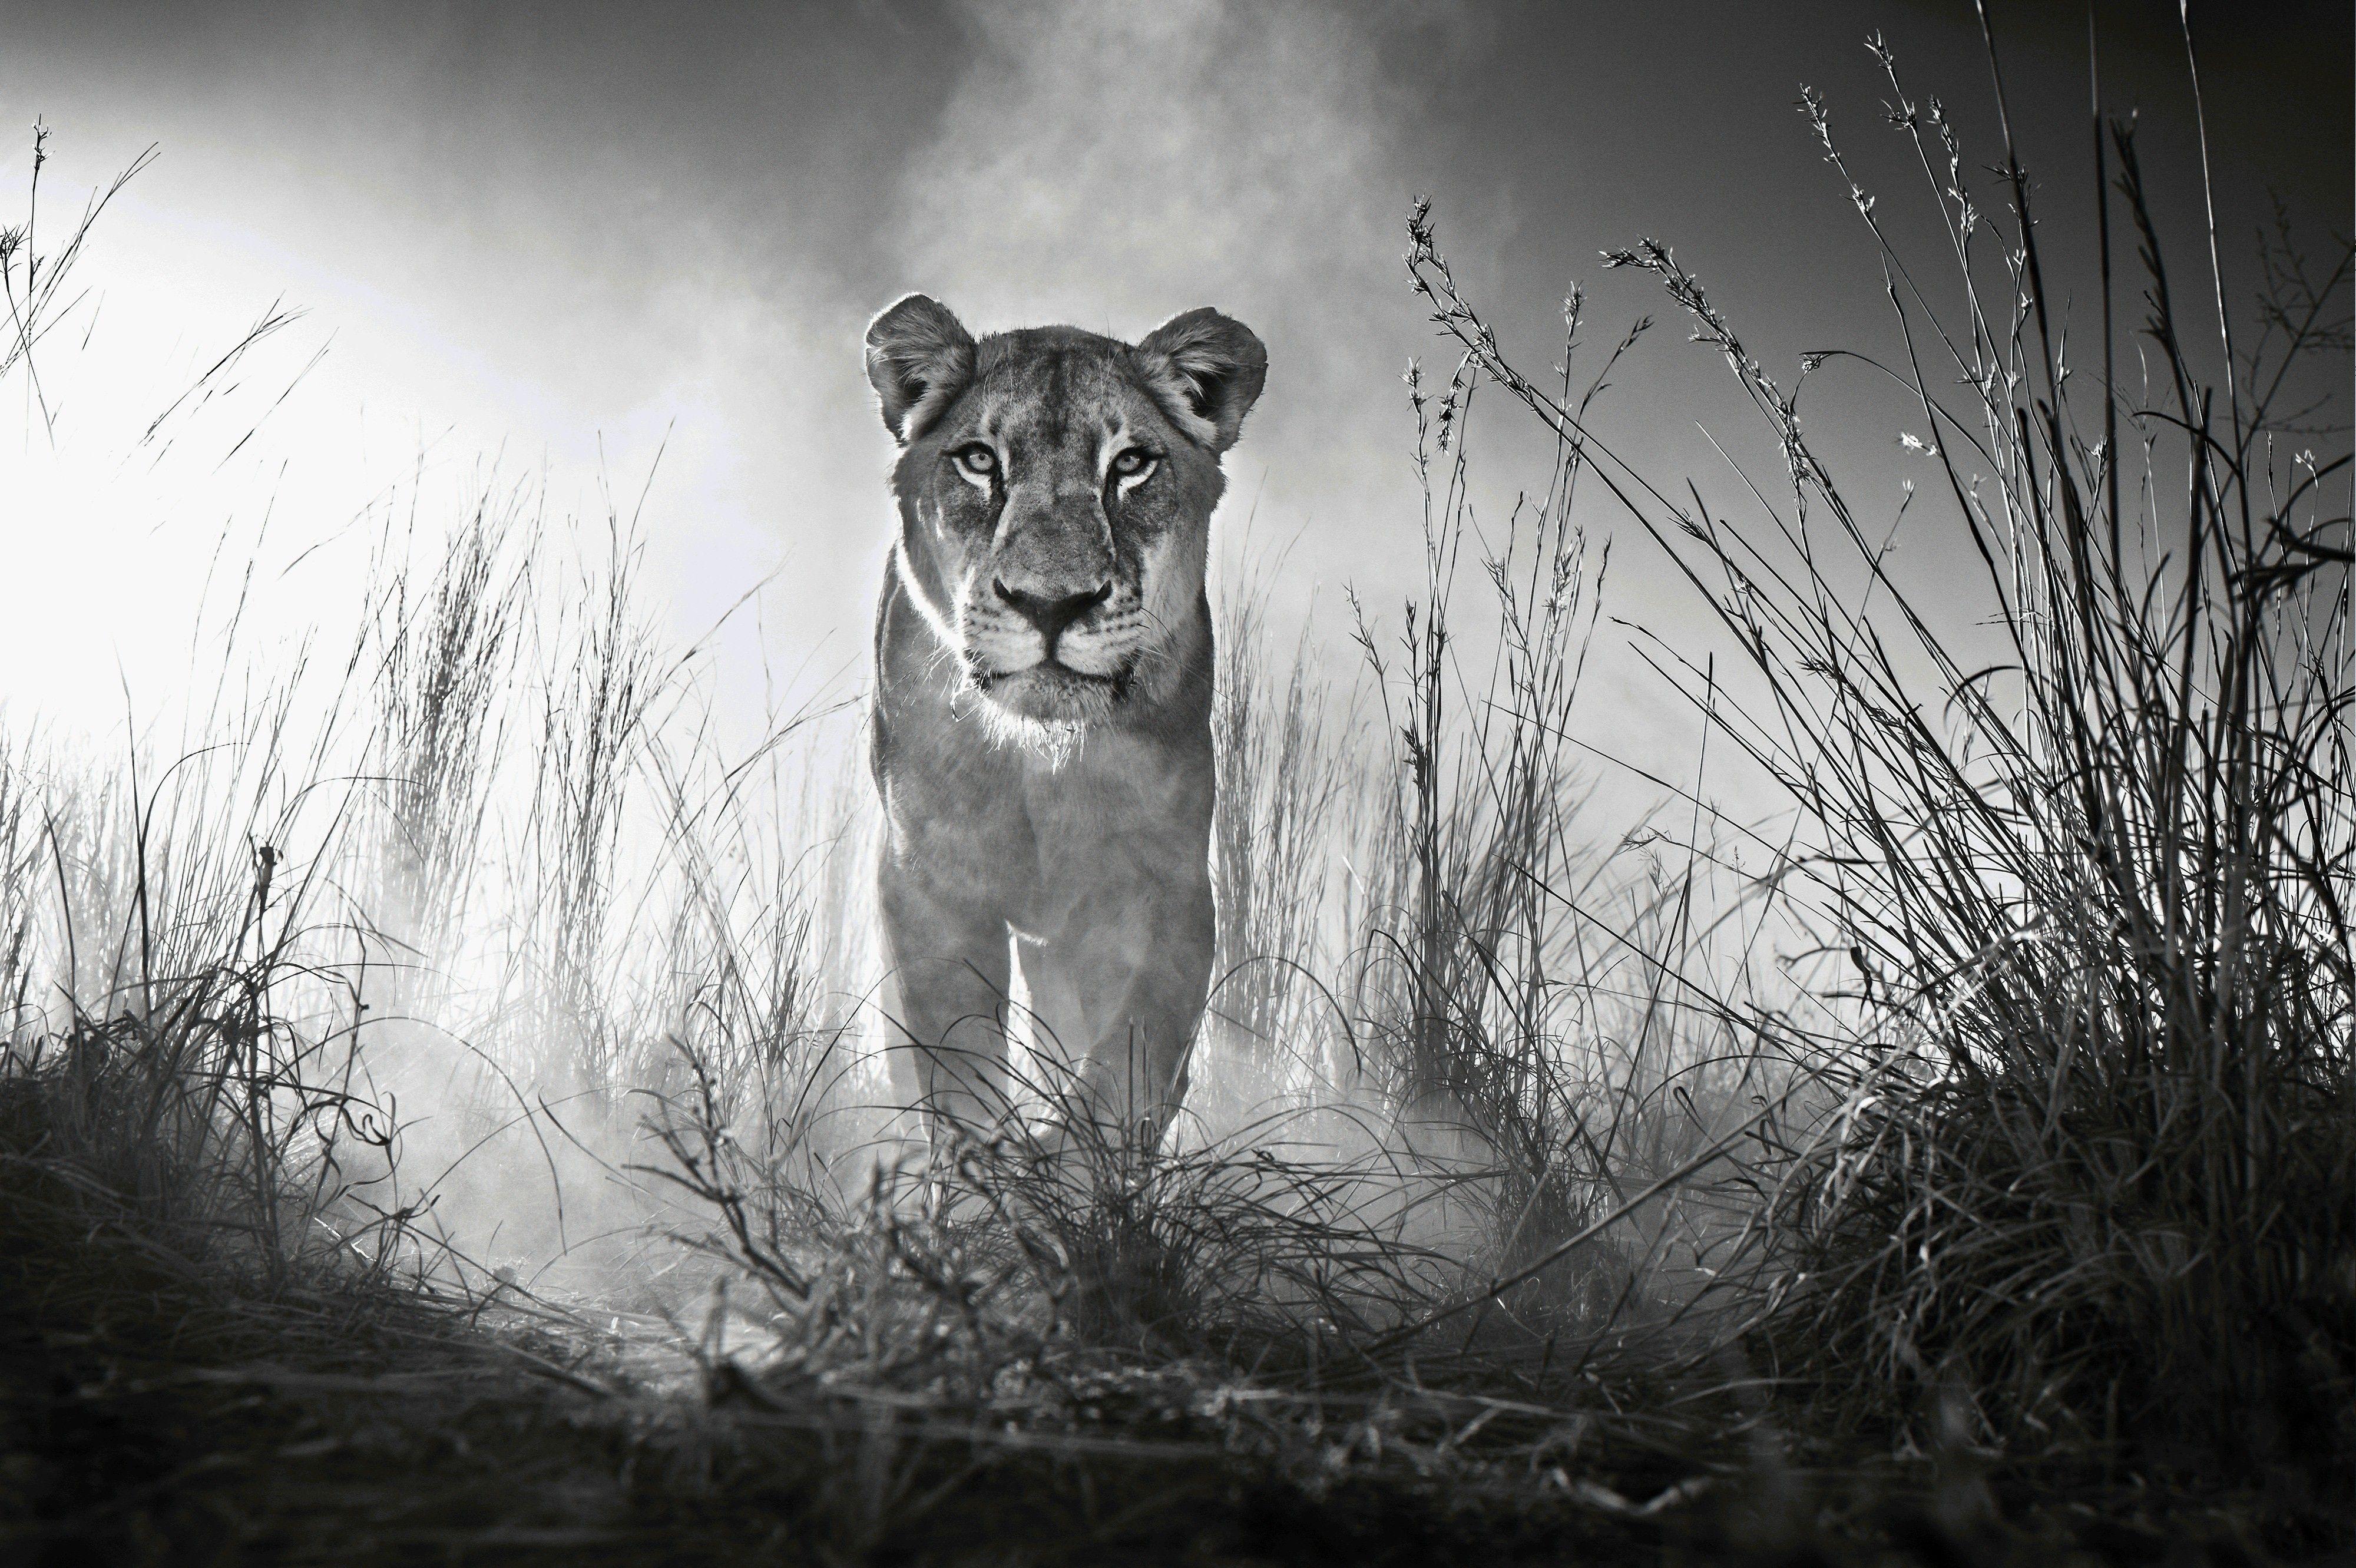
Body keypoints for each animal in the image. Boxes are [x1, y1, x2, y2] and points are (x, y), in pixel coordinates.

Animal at [861, 293, 1266, 1156]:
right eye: (979, 460)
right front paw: (983, 1170)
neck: (1040, 763)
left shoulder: (1165, 884)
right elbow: (955, 1058)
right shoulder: (927, 880)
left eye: (1131, 463)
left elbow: (1132, 1054)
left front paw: (1069, 1162)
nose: (1051, 604)